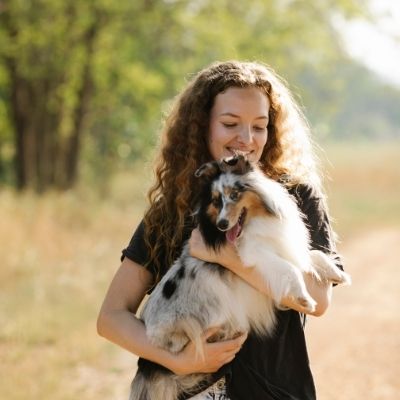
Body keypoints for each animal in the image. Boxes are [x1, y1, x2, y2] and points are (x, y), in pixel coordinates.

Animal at [129, 155, 350, 398]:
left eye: (234, 194)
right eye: (216, 201)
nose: (222, 224)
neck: (257, 220)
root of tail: (147, 363)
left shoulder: (282, 246)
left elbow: (313, 255)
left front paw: (337, 273)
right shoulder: (255, 255)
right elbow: (289, 270)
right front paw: (304, 299)